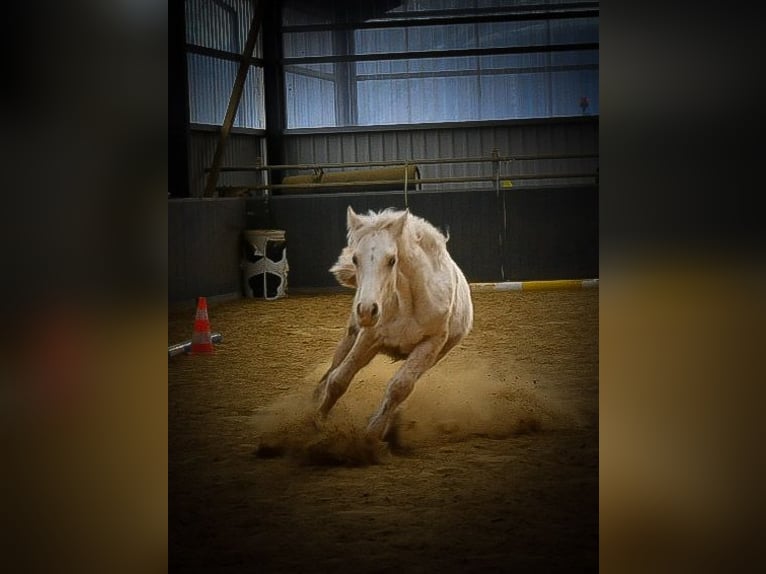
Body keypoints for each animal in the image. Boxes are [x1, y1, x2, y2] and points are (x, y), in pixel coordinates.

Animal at [314, 207, 474, 446]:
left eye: (392, 260)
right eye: (355, 258)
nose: (367, 310)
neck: (407, 304)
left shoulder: (430, 344)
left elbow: (399, 388)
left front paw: (373, 434)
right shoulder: (369, 337)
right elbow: (338, 379)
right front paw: (316, 422)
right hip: (351, 336)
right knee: (333, 368)